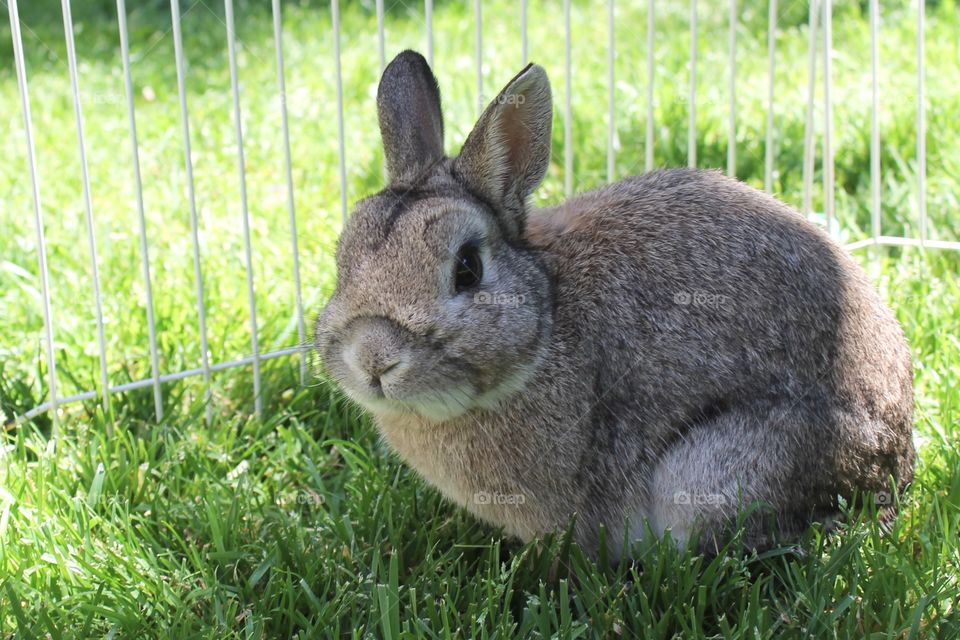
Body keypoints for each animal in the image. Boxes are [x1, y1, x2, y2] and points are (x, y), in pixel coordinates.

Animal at [316, 51, 916, 560]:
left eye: (467, 268)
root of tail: (895, 457)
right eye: (344, 257)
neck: (547, 318)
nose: (373, 359)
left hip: (710, 474)